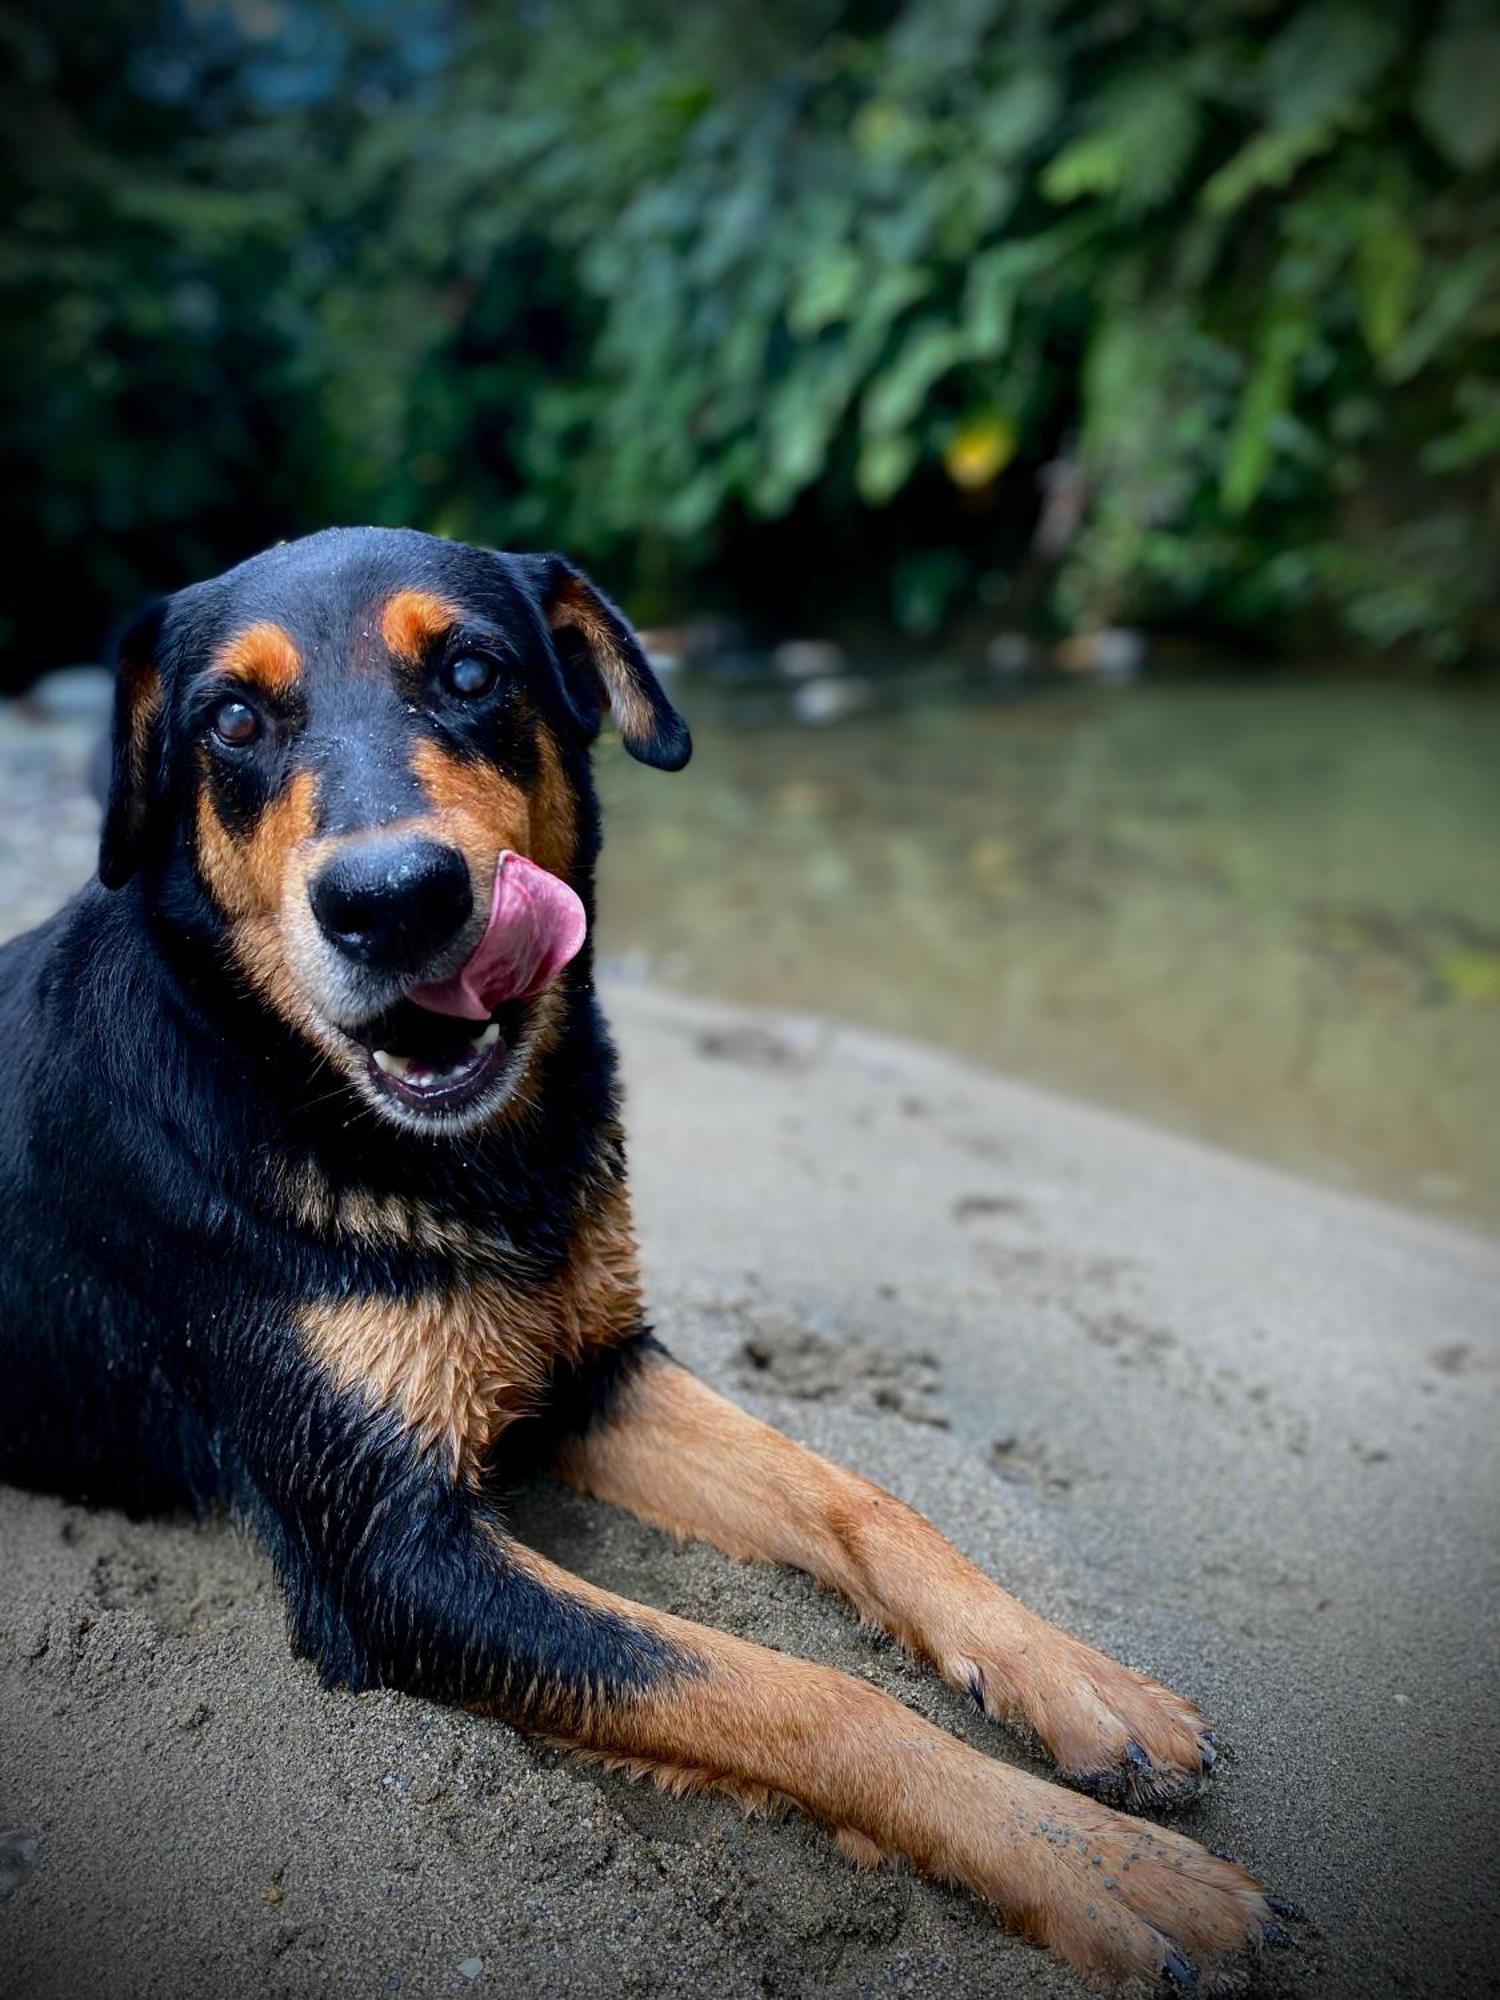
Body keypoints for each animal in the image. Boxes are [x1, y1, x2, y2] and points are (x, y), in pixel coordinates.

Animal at [0, 528, 1296, 1984]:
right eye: (231, 720)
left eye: (471, 670)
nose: (393, 903)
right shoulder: (385, 1556)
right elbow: (805, 1695)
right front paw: (1098, 1863)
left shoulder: (591, 1370)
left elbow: (867, 1504)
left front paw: (1079, 1683)